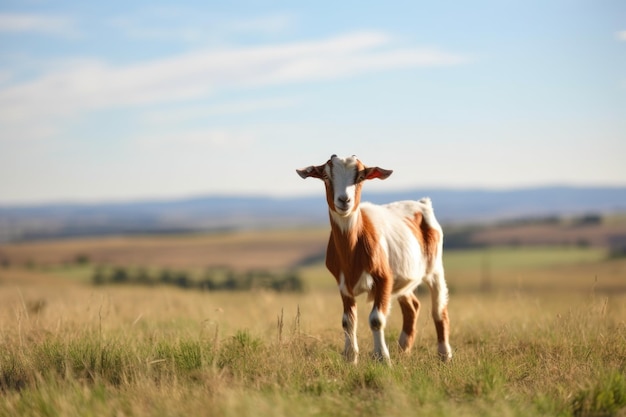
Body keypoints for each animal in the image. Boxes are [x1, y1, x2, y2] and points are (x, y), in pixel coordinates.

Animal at [294, 154, 450, 362]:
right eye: (326, 177)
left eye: (360, 177)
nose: (344, 200)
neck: (352, 250)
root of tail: (422, 204)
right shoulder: (343, 283)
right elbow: (348, 321)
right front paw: (350, 358)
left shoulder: (383, 278)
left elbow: (376, 319)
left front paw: (382, 358)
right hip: (402, 278)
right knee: (412, 306)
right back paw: (403, 349)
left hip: (434, 268)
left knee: (439, 309)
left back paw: (444, 354)